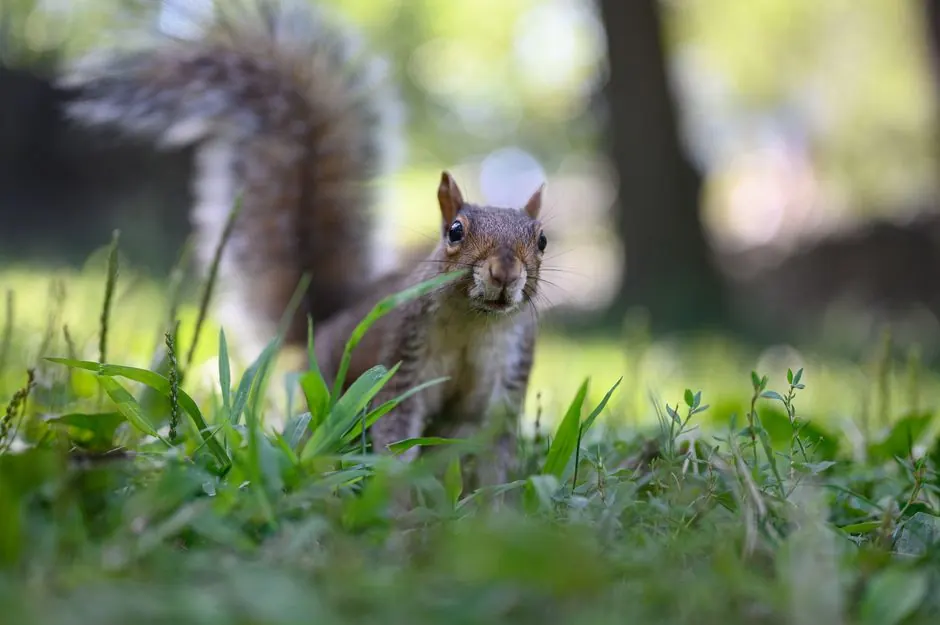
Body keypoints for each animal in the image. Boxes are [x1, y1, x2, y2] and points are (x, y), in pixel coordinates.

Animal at [57, 0, 547, 486]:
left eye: (542, 240)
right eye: (455, 232)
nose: (505, 272)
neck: (475, 324)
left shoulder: (507, 383)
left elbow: (494, 453)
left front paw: (495, 499)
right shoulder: (402, 359)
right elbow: (397, 429)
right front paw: (396, 487)